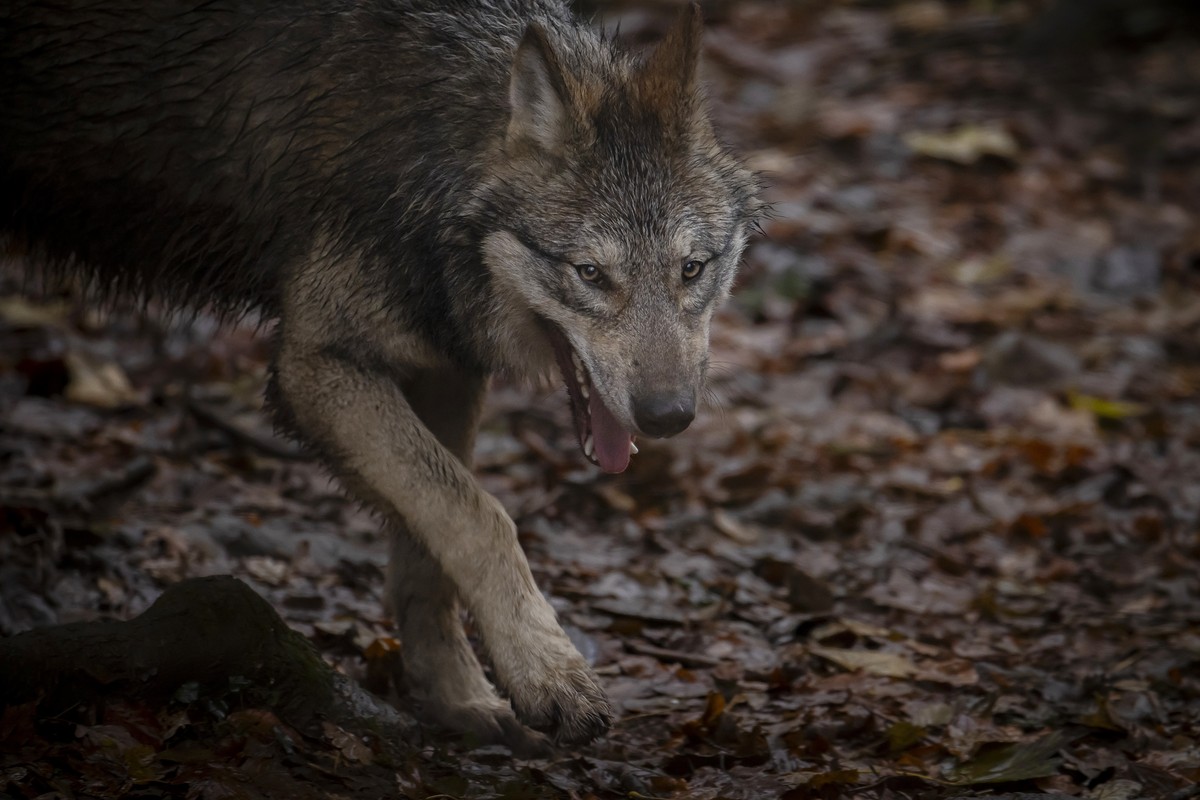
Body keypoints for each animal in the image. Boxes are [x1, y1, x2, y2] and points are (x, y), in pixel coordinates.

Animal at [0, 0, 759, 747]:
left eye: (692, 269)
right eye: (592, 274)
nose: (668, 416)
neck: (435, 155)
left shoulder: (446, 368)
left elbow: (432, 546)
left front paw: (459, 696)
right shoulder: (317, 367)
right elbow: (480, 514)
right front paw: (549, 673)